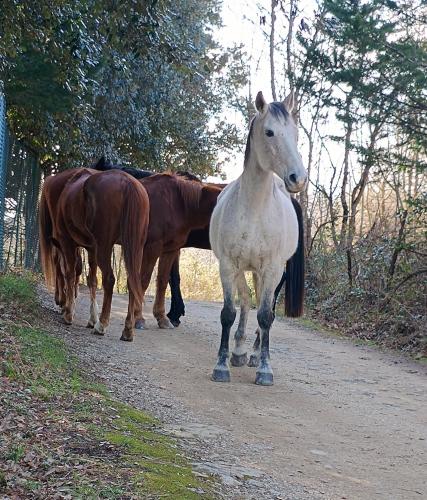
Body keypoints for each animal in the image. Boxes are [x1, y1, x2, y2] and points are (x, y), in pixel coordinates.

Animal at [38, 168, 149, 340]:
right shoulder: (91, 248)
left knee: (109, 279)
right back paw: (127, 330)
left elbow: (70, 274)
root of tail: (126, 182)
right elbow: (92, 280)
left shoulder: (67, 242)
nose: (59, 301)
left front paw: (69, 313)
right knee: (132, 281)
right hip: (136, 248)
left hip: (105, 246)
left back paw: (101, 325)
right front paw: (91, 318)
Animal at [208, 91, 306, 386]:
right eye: (269, 132)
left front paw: (265, 368)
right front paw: (221, 365)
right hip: (245, 270)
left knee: (265, 305)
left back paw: (253, 353)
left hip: (268, 274)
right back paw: (240, 351)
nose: (298, 179)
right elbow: (229, 312)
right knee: (245, 300)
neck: (254, 210)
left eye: (295, 133)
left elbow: (266, 316)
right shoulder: (228, 266)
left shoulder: (272, 269)